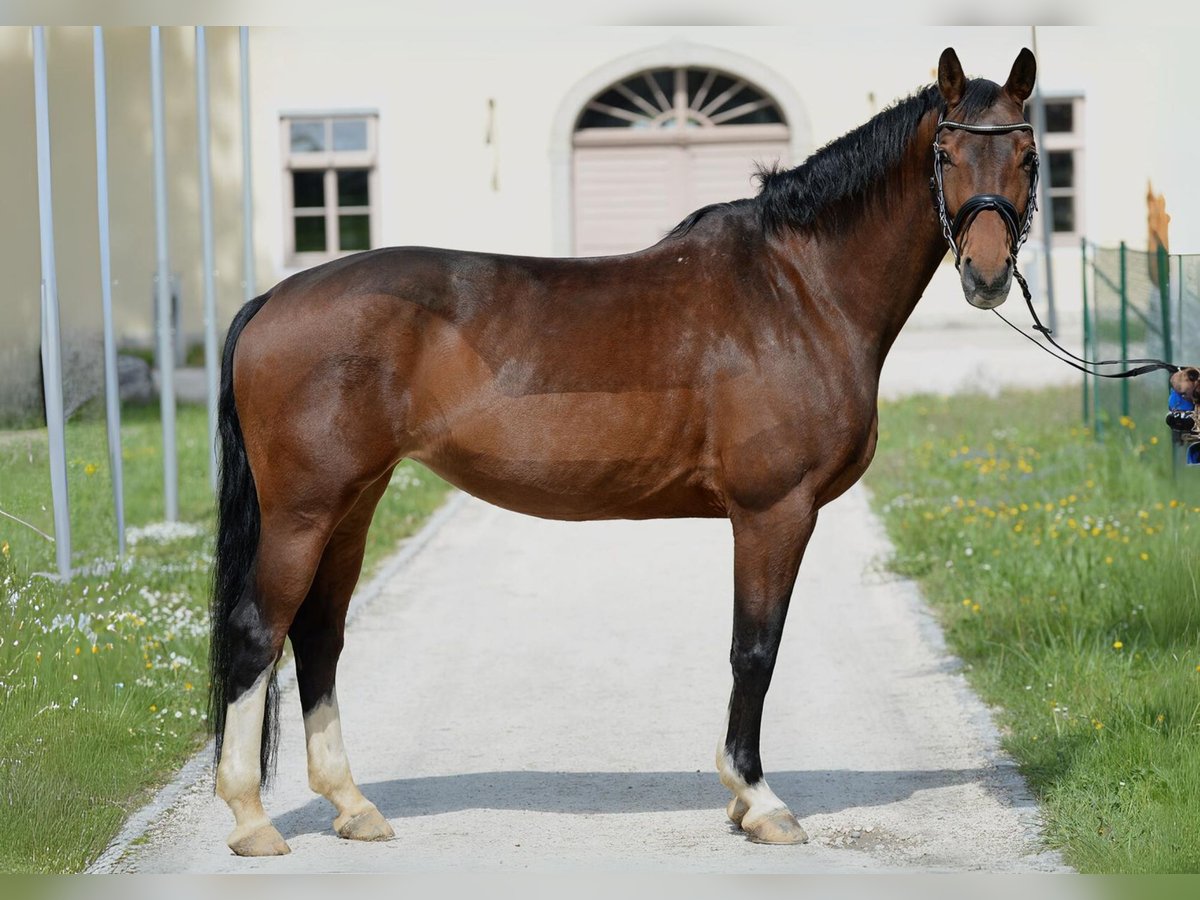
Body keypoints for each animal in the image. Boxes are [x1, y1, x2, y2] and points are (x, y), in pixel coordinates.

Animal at [208, 45, 1041, 854]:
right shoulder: (774, 511)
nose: (987, 273)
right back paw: (250, 820)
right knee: (259, 633)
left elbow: (752, 649)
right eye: (946, 155)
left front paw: (741, 798)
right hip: (304, 511)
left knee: (318, 637)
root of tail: (274, 299)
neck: (798, 290)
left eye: (1030, 157)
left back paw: (353, 807)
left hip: (354, 503)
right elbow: (755, 650)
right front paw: (758, 799)